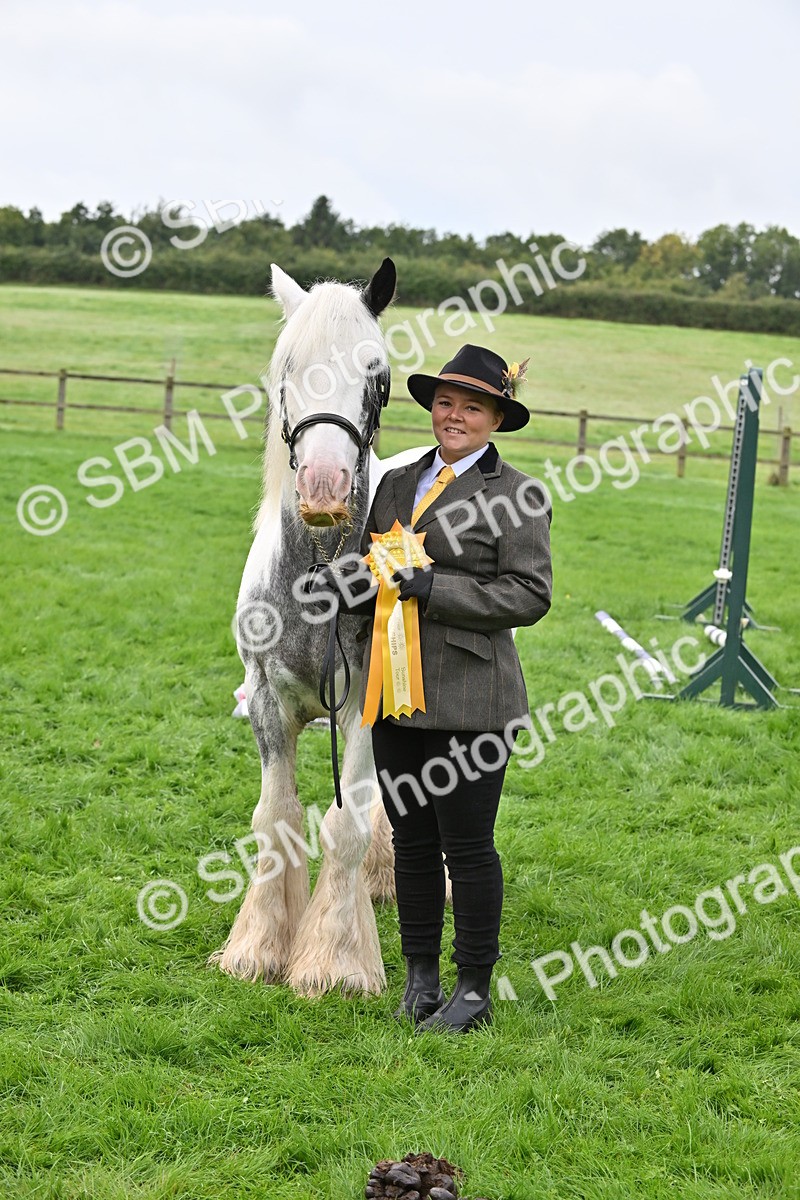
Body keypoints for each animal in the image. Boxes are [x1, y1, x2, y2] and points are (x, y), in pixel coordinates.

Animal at [211, 257, 415, 996]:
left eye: (378, 375)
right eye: (286, 369)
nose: (323, 487)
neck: (317, 580)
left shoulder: (364, 709)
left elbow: (345, 825)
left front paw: (336, 959)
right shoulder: (268, 702)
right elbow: (275, 820)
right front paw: (258, 947)